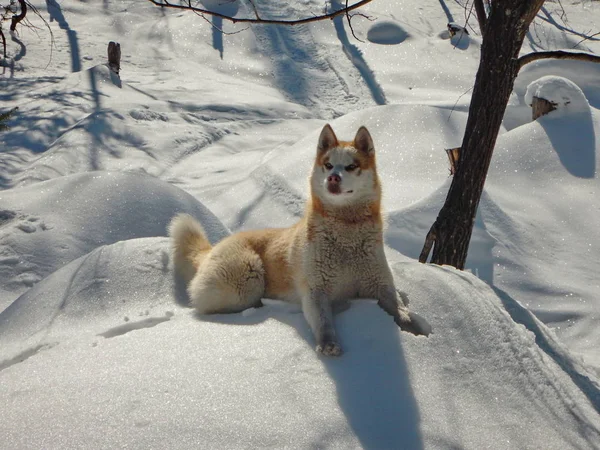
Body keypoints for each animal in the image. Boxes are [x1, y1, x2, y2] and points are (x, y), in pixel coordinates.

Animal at [169, 123, 432, 356]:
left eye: (351, 166)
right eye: (328, 165)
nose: (333, 178)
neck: (346, 233)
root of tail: (212, 248)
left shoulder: (382, 285)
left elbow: (401, 309)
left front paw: (419, 332)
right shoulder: (316, 291)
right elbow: (324, 322)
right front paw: (328, 344)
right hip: (248, 279)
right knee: (209, 305)